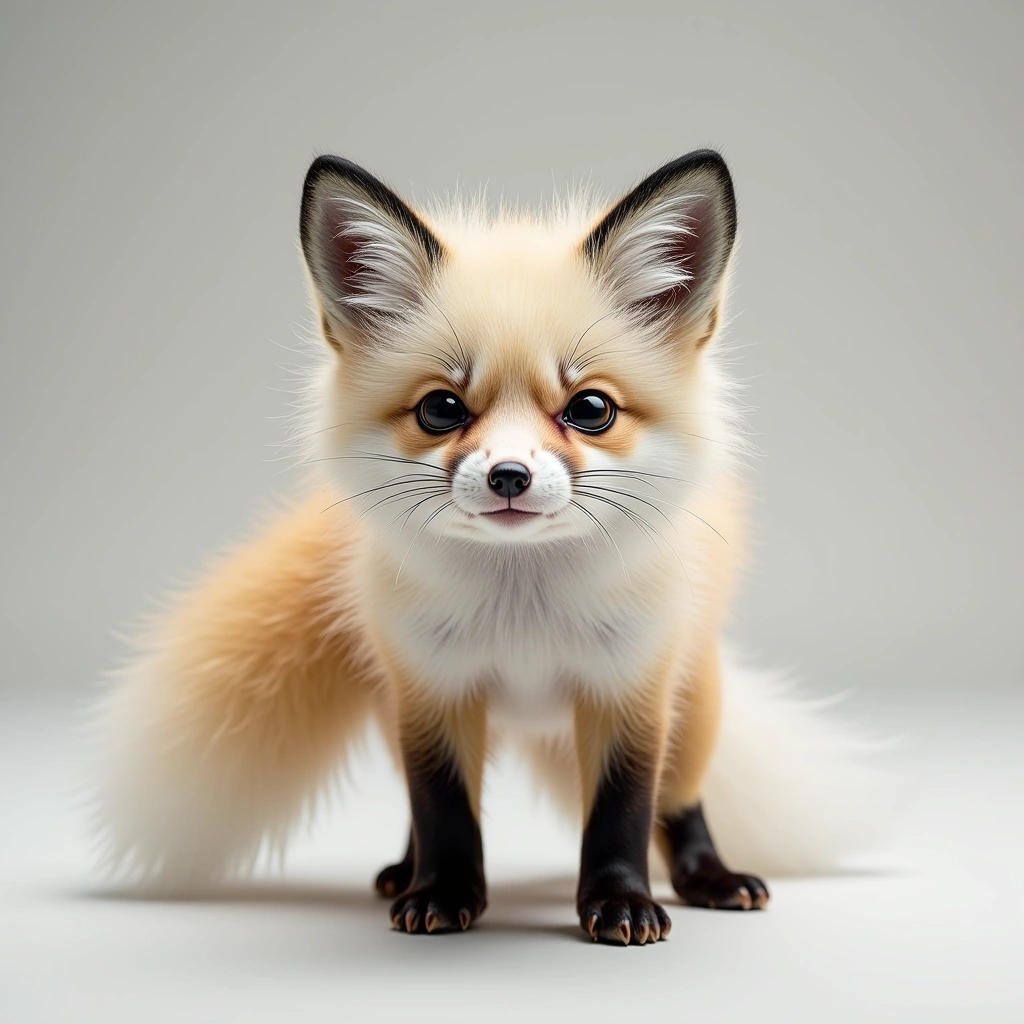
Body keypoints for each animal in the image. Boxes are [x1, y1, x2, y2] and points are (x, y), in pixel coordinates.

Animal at [88, 150, 878, 945]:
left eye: (591, 409)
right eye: (442, 408)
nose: (508, 476)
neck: (523, 614)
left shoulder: (630, 687)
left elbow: (623, 812)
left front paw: (620, 902)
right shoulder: (431, 690)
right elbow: (443, 810)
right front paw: (441, 891)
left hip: (694, 706)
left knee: (682, 802)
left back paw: (709, 876)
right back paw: (404, 872)